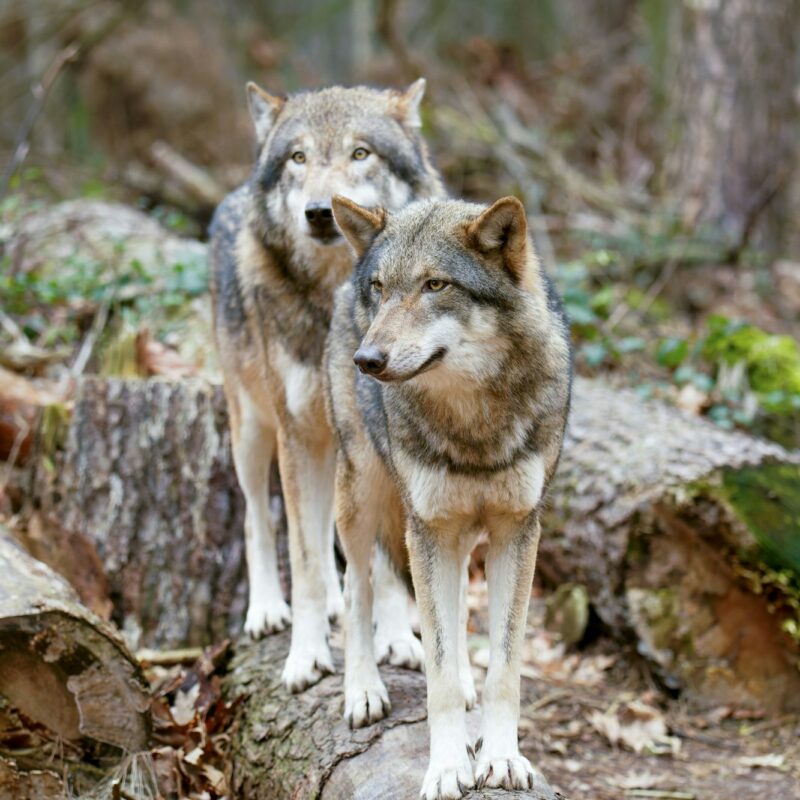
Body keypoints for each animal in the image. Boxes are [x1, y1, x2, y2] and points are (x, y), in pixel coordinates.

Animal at [209, 80, 445, 691]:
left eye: (360, 153)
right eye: (298, 158)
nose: (319, 213)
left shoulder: (378, 441)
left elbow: (379, 556)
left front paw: (395, 637)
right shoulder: (297, 433)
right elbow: (306, 560)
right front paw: (306, 655)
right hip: (253, 431)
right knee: (261, 520)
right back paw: (269, 609)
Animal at [325, 195, 572, 798]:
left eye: (435, 285)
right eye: (381, 288)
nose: (368, 359)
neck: (472, 423)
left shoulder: (515, 531)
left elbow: (503, 667)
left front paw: (502, 758)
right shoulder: (428, 529)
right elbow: (435, 673)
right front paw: (445, 767)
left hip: (454, 536)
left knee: (455, 611)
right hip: (362, 496)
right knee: (356, 590)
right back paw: (362, 691)